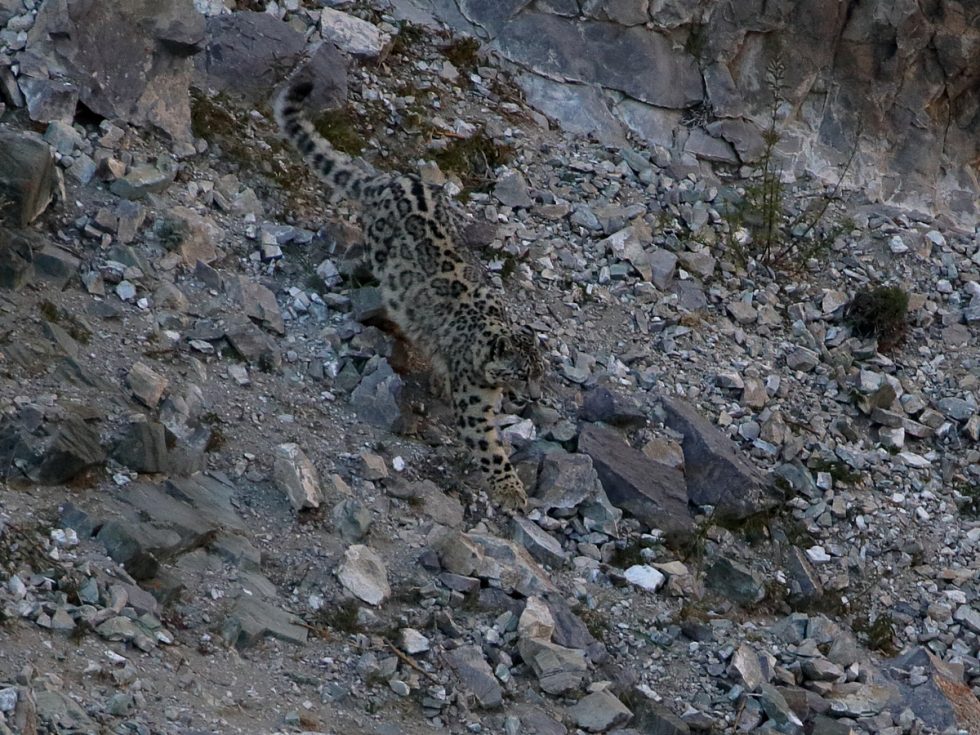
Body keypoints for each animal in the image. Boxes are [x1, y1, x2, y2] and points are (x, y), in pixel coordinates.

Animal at [275, 78, 544, 510]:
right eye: (520, 373)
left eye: (540, 373)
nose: (532, 399)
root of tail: (386, 180)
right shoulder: (475, 405)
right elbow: (489, 447)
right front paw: (511, 491)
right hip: (379, 256)